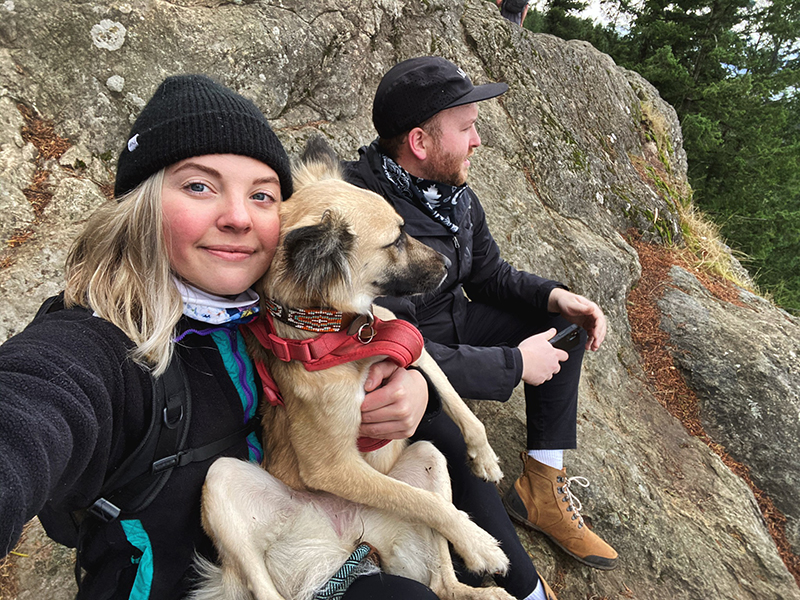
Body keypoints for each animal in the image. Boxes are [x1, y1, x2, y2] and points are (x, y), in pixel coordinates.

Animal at [194, 139, 512, 600]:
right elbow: (422, 502)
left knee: (442, 582)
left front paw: (484, 458)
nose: (449, 266)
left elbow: (457, 401)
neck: (341, 332)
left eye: (405, 229)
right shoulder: (331, 467)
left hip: (428, 457)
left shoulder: (406, 339)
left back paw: (477, 591)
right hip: (221, 481)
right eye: (396, 240)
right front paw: (480, 543)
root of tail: (345, 544)